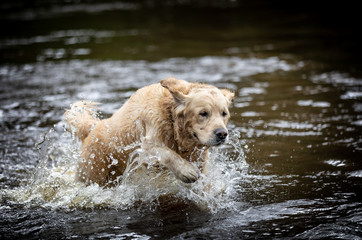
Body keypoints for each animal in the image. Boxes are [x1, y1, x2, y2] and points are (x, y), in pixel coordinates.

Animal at [65, 77, 235, 186]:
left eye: (224, 113)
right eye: (203, 113)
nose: (222, 134)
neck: (171, 118)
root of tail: (94, 127)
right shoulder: (145, 146)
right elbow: (167, 153)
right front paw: (186, 171)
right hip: (92, 172)